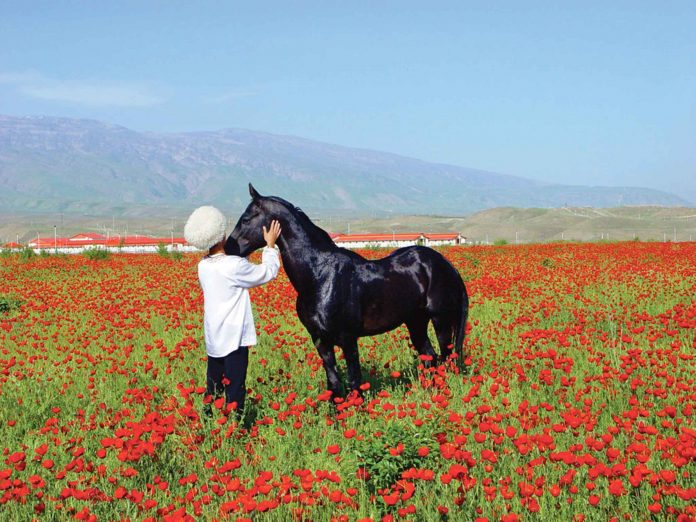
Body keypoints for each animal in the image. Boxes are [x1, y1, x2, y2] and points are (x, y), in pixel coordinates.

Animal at [226, 184, 469, 399]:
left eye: (246, 218)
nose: (228, 247)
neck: (319, 275)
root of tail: (449, 266)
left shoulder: (348, 339)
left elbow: (354, 381)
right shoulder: (321, 341)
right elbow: (333, 384)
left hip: (441, 320)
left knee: (446, 358)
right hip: (415, 322)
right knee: (431, 358)